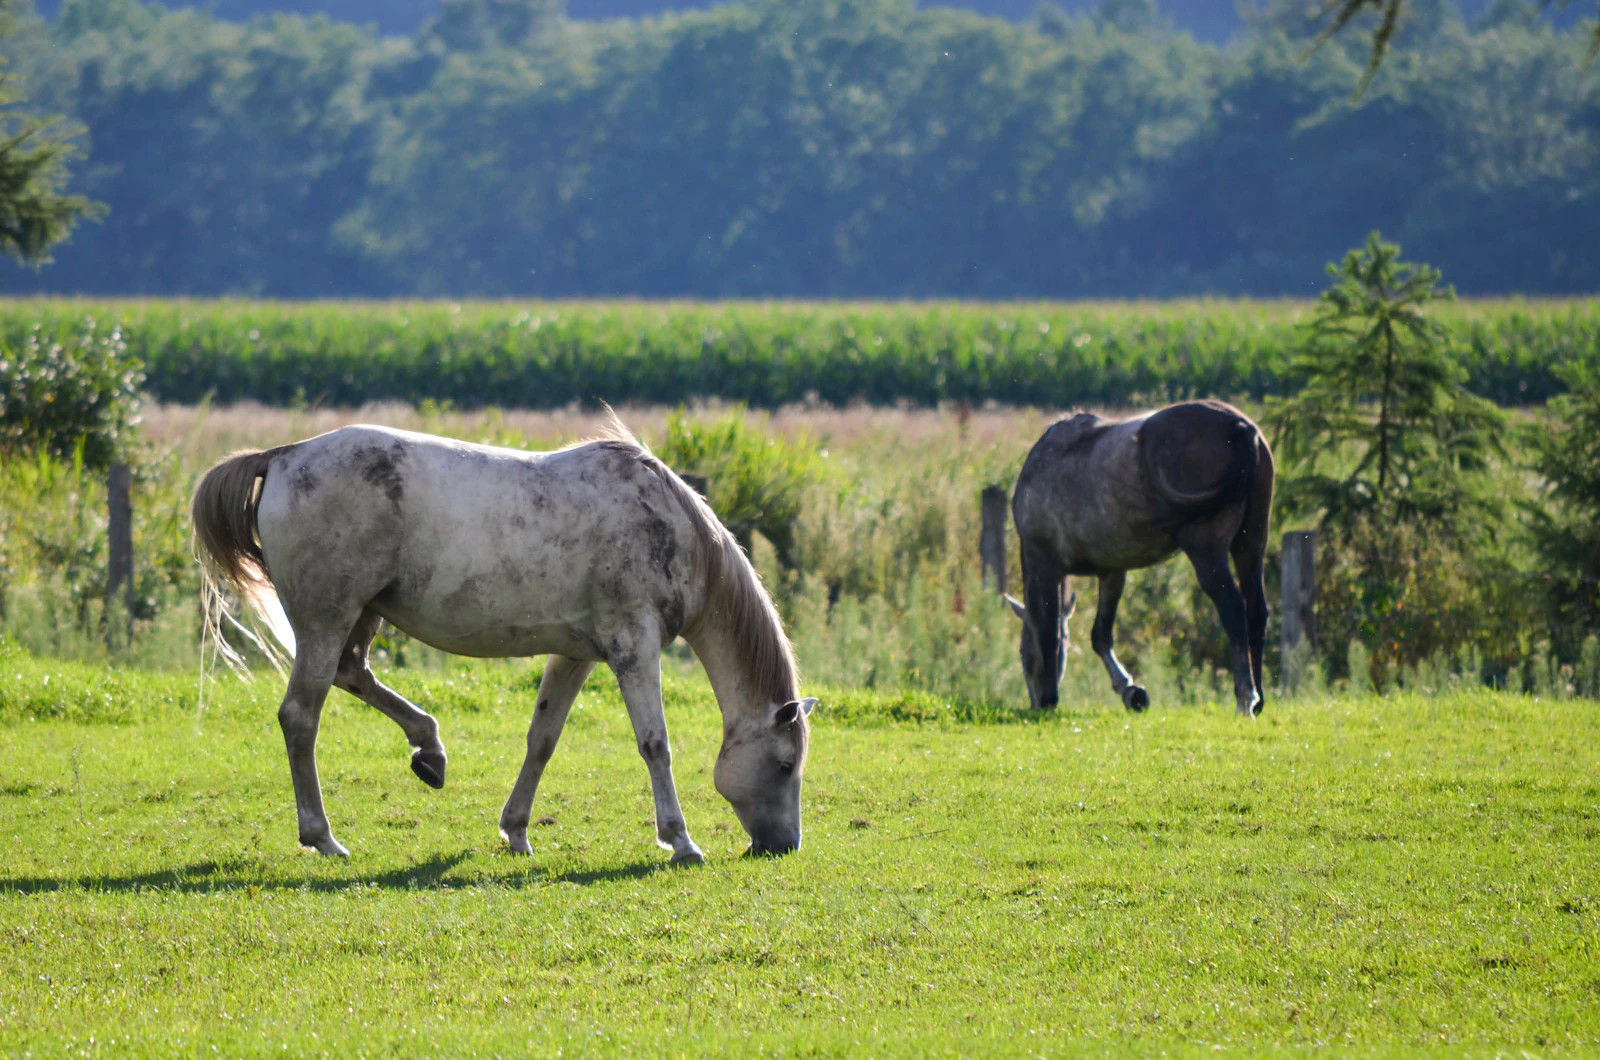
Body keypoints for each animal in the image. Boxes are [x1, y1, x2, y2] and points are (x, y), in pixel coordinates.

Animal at [191, 419, 815, 861]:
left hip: (362, 616)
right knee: (301, 716)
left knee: (354, 674)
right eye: (785, 765)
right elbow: (654, 744)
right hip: (327, 619)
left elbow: (542, 739)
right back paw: (322, 836)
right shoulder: (634, 648)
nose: (784, 846)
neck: (671, 529)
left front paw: (516, 831)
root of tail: (283, 456)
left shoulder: (575, 655)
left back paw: (430, 750)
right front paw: (680, 841)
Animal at [1004, 400, 1274, 716]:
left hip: (1207, 551)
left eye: (1021, 651)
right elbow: (1100, 635)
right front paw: (1131, 692)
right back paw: (1259, 699)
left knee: (1233, 609)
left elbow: (1048, 633)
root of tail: (1240, 426)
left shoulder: (1043, 566)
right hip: (1251, 545)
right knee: (1256, 611)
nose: (1034, 701)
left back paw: (1245, 697)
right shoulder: (1112, 572)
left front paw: (1049, 698)